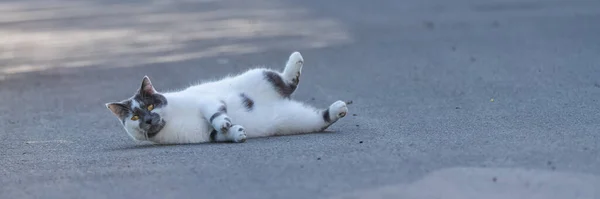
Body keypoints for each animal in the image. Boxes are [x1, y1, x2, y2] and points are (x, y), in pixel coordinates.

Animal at [105, 51, 350, 145]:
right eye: (134, 117)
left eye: (150, 105)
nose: (148, 119)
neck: (172, 120)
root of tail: (280, 104)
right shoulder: (207, 135)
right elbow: (220, 133)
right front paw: (236, 132)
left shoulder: (207, 100)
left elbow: (214, 113)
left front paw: (224, 121)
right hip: (298, 121)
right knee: (320, 118)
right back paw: (338, 108)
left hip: (260, 76)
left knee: (286, 82)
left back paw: (295, 60)